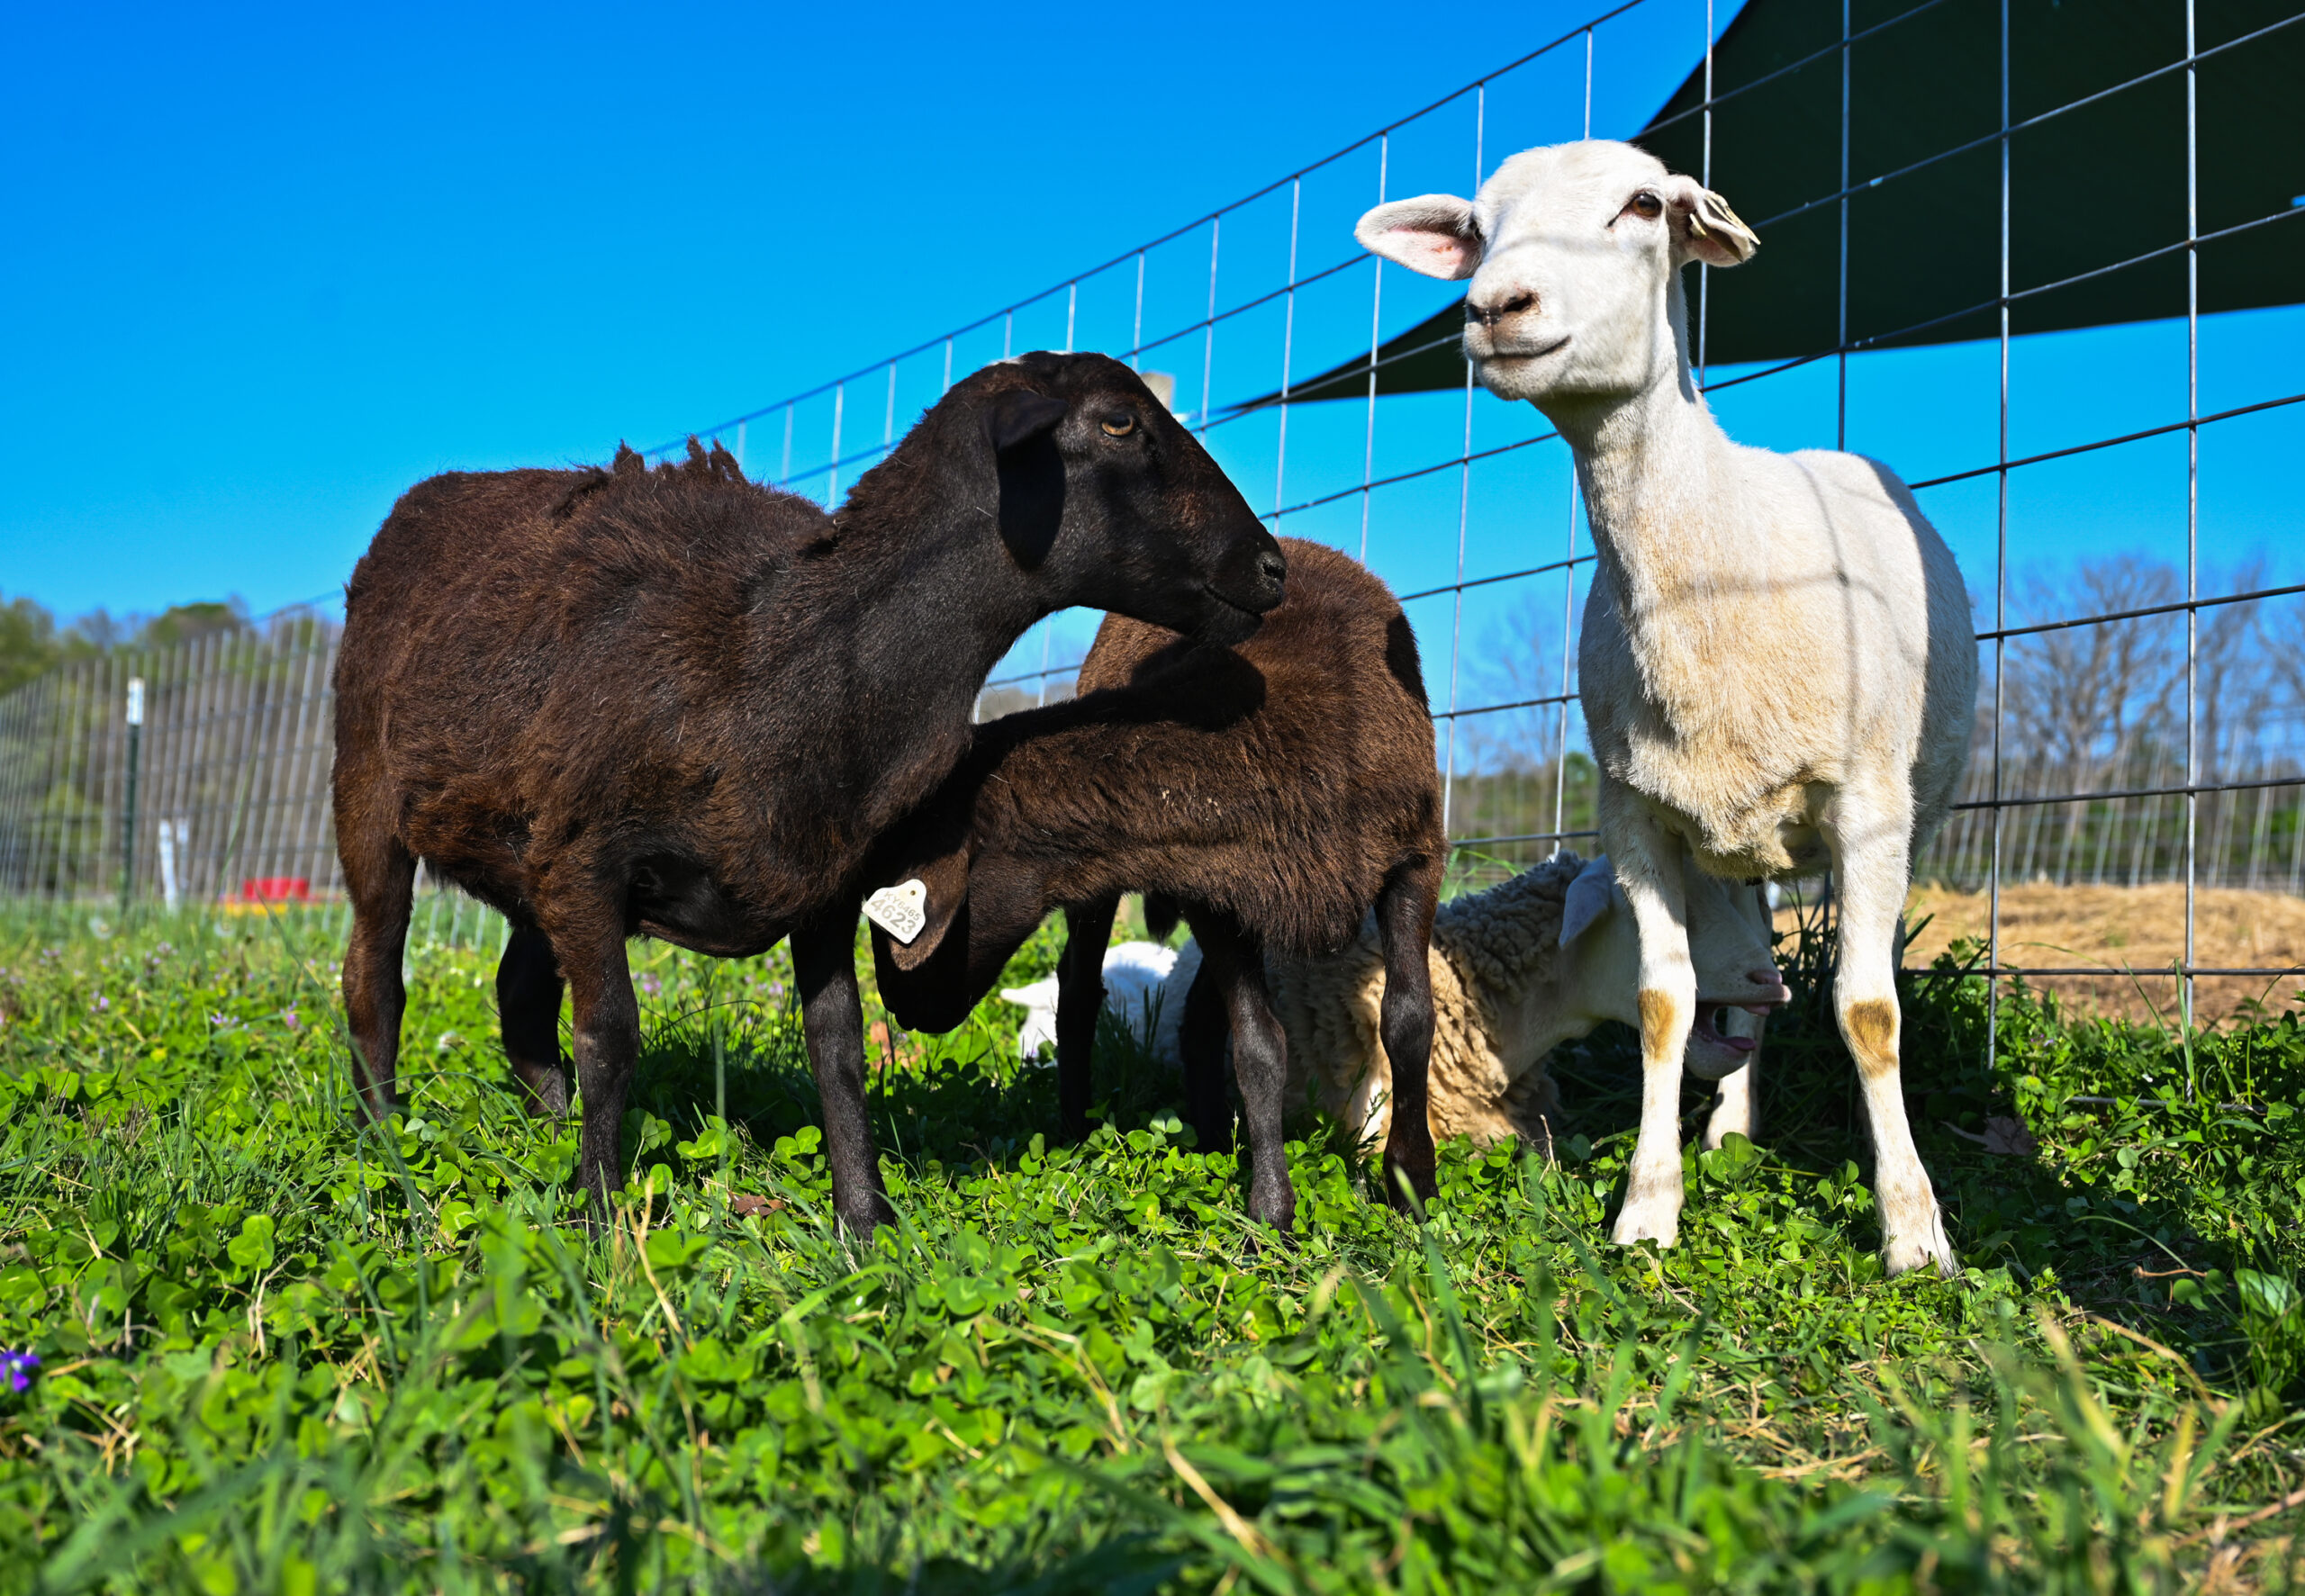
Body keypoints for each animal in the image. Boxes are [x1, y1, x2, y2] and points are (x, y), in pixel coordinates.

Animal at [330, 351, 1287, 1231]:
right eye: (1121, 424)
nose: (1273, 567)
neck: (792, 651)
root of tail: (430, 495)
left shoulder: (820, 877)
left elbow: (839, 1051)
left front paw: (866, 1225)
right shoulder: (591, 858)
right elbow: (612, 1038)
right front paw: (600, 1222)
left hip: (533, 854)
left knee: (519, 994)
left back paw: (542, 1130)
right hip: (372, 793)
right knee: (374, 977)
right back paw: (385, 1152)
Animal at [862, 538, 1447, 1227]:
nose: (899, 1006)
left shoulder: (1415, 862)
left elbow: (1408, 1021)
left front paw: (1414, 1187)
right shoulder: (1216, 895)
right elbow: (1260, 1047)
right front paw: (1272, 1213)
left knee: (1194, 1020)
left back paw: (1213, 1136)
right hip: (1117, 885)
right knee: (1081, 990)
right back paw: (1078, 1130)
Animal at [1357, 140, 1977, 1275]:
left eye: (1644, 205)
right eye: (1477, 228)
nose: (1495, 306)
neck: (1715, 562)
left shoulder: (1869, 812)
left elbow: (1868, 1012)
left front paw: (1913, 1230)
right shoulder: (1633, 811)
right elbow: (1660, 1003)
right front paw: (1648, 1207)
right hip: (1739, 840)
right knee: (1752, 979)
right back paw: (1731, 1130)